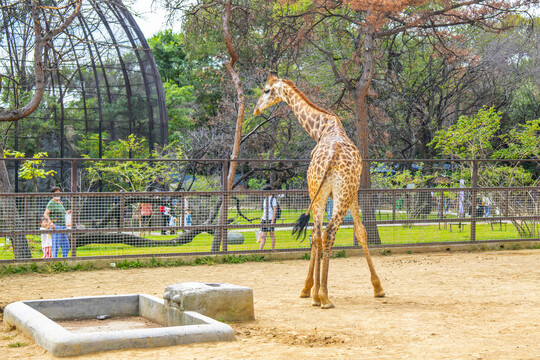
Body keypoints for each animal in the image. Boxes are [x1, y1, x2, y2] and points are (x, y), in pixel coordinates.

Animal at [253, 73, 384, 310]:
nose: (256, 109)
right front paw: (378, 287)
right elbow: (357, 232)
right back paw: (323, 295)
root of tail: (332, 158)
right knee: (328, 232)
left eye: (266, 90)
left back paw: (318, 294)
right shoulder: (348, 192)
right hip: (338, 194)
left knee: (319, 234)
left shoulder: (330, 194)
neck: (322, 127)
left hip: (324, 192)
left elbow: (325, 236)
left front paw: (308, 290)